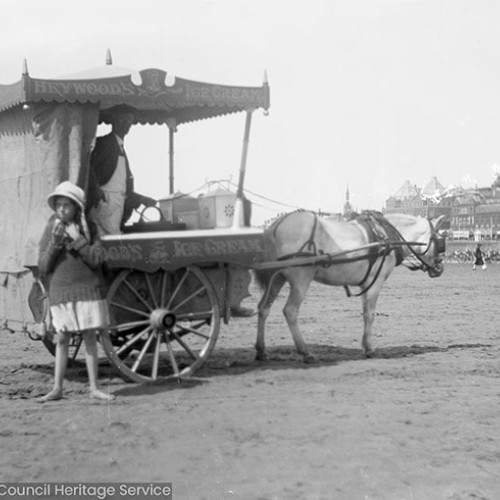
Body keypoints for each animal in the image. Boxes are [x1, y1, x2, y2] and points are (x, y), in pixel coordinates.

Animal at [256, 209, 444, 362]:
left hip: (277, 278)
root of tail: (277, 224)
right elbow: (370, 314)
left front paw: (365, 345)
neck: (385, 236)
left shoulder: (365, 284)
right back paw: (305, 352)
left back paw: (261, 351)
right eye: (441, 241)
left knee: (264, 308)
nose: (440, 268)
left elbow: (365, 313)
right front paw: (369, 348)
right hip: (301, 279)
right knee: (290, 311)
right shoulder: (375, 282)